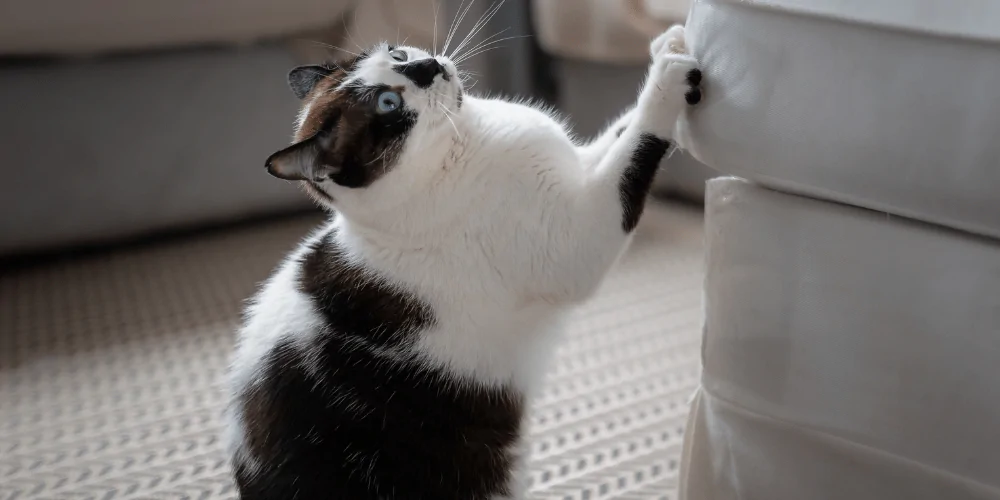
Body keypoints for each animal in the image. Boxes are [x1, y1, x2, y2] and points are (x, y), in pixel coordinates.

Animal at [223, 24, 700, 500]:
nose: (427, 65)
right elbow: (635, 150)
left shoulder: (579, 167)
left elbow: (619, 131)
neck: (465, 142)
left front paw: (669, 45)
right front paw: (667, 79)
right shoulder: (577, 240)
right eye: (387, 104)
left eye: (398, 55)